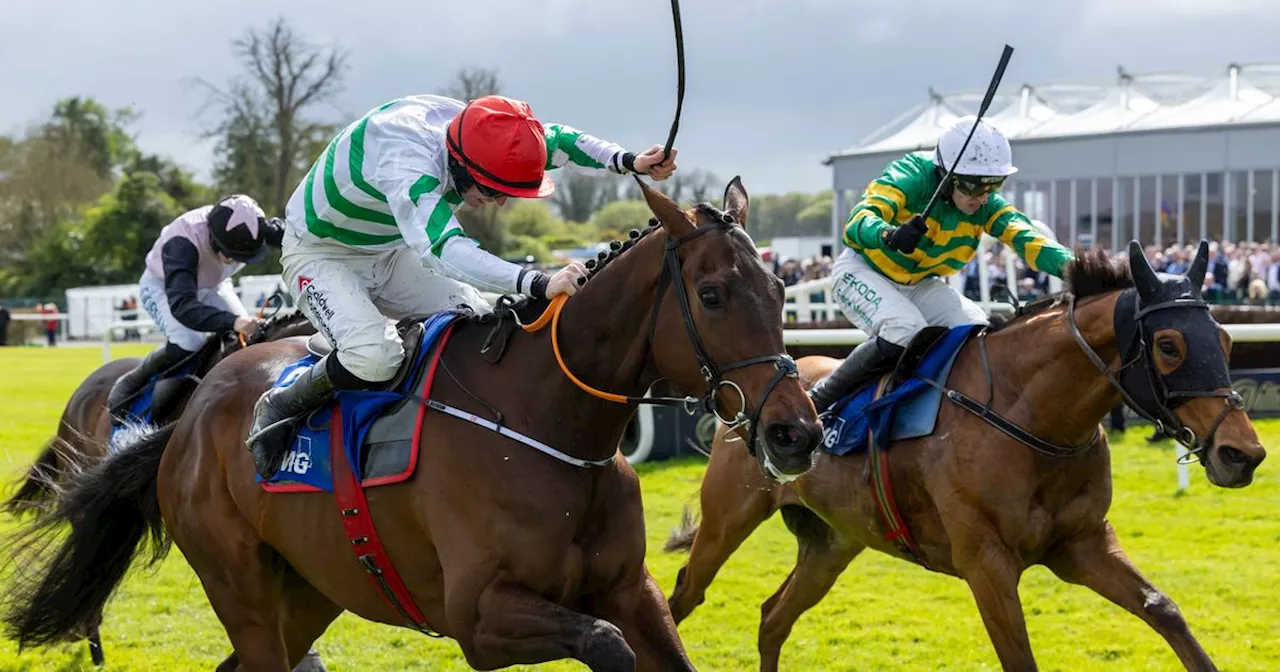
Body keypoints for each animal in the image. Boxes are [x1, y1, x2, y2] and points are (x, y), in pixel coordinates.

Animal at [665, 241, 1264, 670]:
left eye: (1227, 340)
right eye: (1169, 345)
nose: (1245, 453)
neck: (1031, 418)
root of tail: (747, 393)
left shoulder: (1082, 544)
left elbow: (1165, 610)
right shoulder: (986, 563)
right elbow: (1020, 658)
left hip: (833, 542)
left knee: (772, 618)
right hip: (727, 520)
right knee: (682, 597)